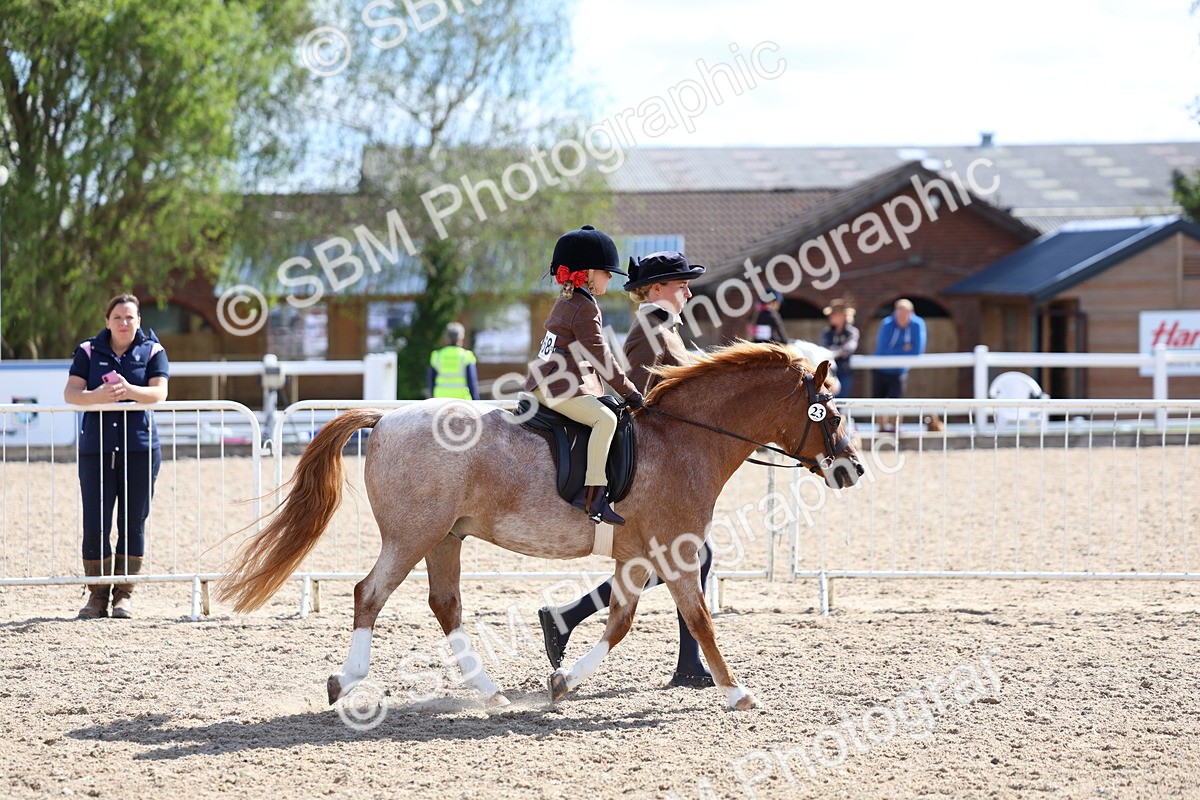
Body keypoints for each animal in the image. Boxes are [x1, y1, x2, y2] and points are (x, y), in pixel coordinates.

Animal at [218, 342, 864, 711]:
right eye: (829, 412)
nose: (852, 468)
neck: (685, 438)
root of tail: (387, 417)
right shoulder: (675, 552)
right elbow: (701, 619)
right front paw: (736, 691)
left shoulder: (636, 557)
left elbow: (621, 622)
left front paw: (564, 681)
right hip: (412, 537)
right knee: (369, 594)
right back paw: (347, 680)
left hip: (445, 539)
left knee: (445, 606)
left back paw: (493, 694)